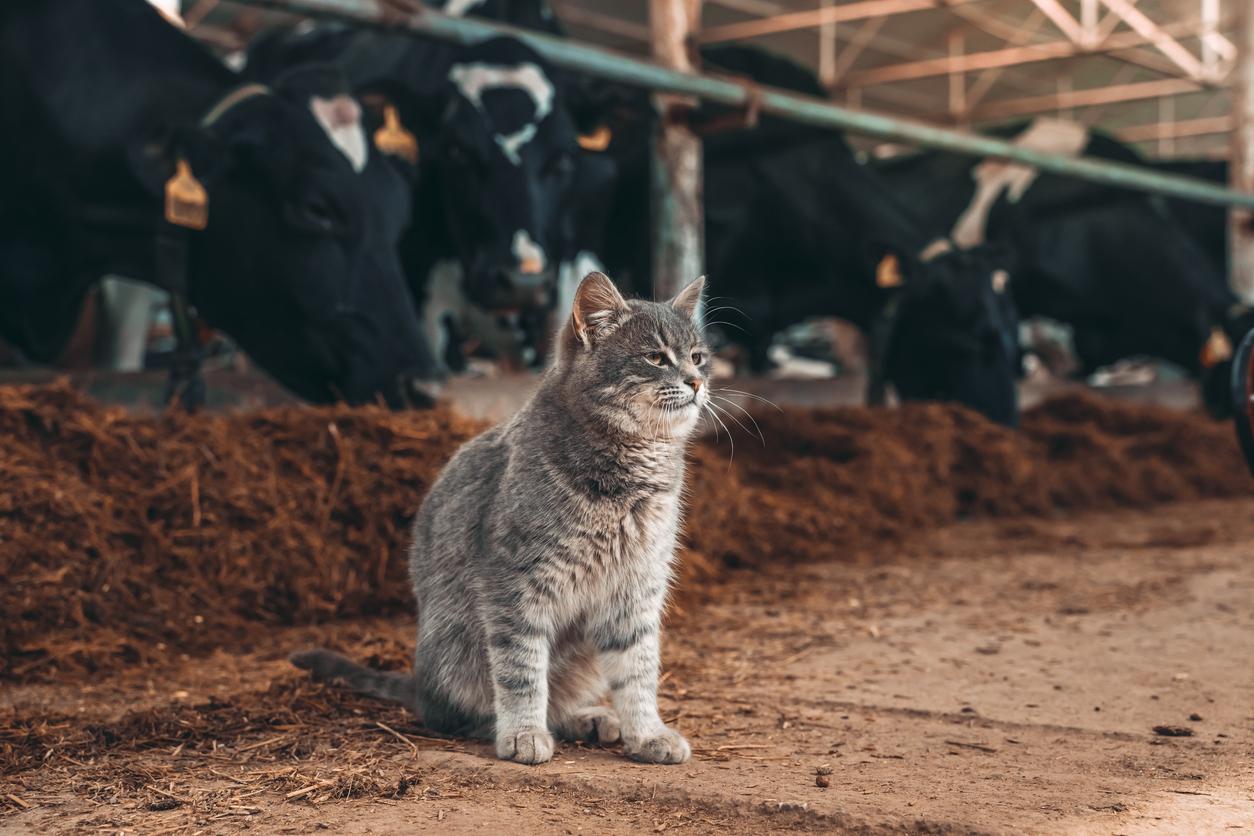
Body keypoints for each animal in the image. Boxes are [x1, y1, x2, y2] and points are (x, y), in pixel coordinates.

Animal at [290, 269, 707, 767]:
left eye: (698, 357)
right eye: (656, 357)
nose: (697, 382)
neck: (633, 470)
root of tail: (419, 682)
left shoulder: (637, 589)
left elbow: (638, 671)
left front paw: (646, 734)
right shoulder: (515, 585)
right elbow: (521, 669)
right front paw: (523, 733)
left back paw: (587, 718)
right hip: (455, 654)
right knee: (453, 712)